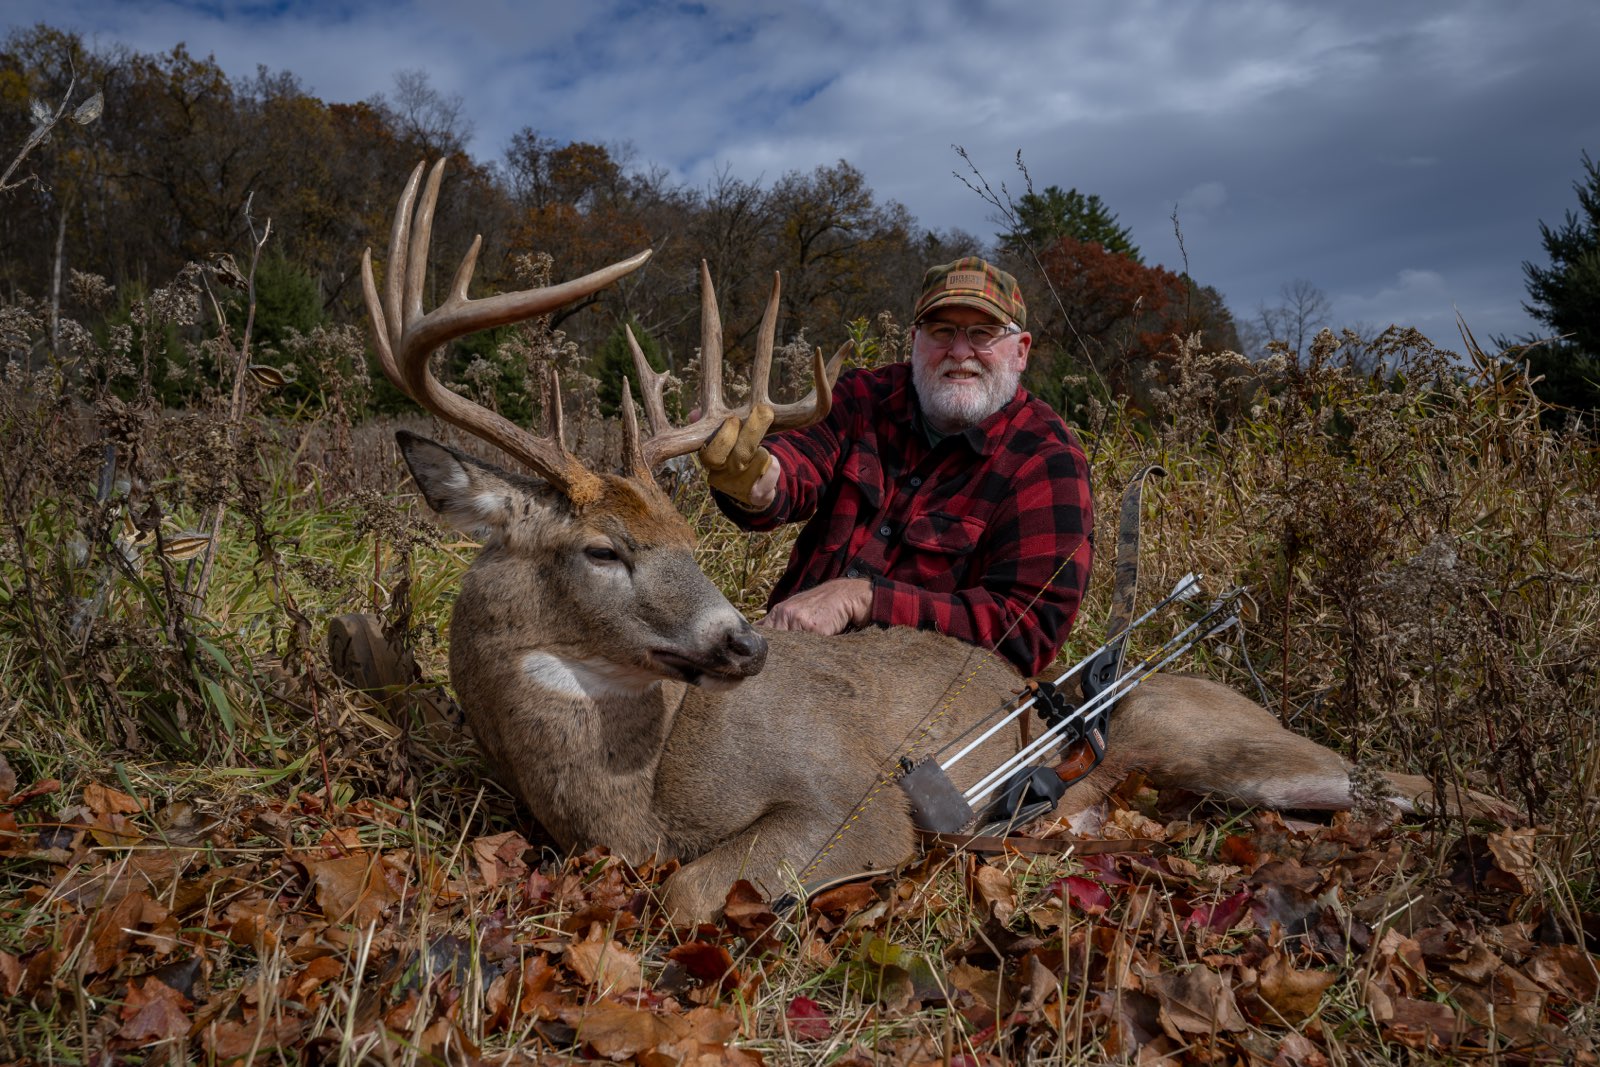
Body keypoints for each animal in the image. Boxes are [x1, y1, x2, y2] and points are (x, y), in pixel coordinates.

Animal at [359, 161, 1515, 923]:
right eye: (602, 549)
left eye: (684, 533)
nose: (745, 641)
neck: (627, 795)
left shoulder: (846, 799)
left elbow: (692, 892)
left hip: (1225, 741)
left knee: (1419, 785)